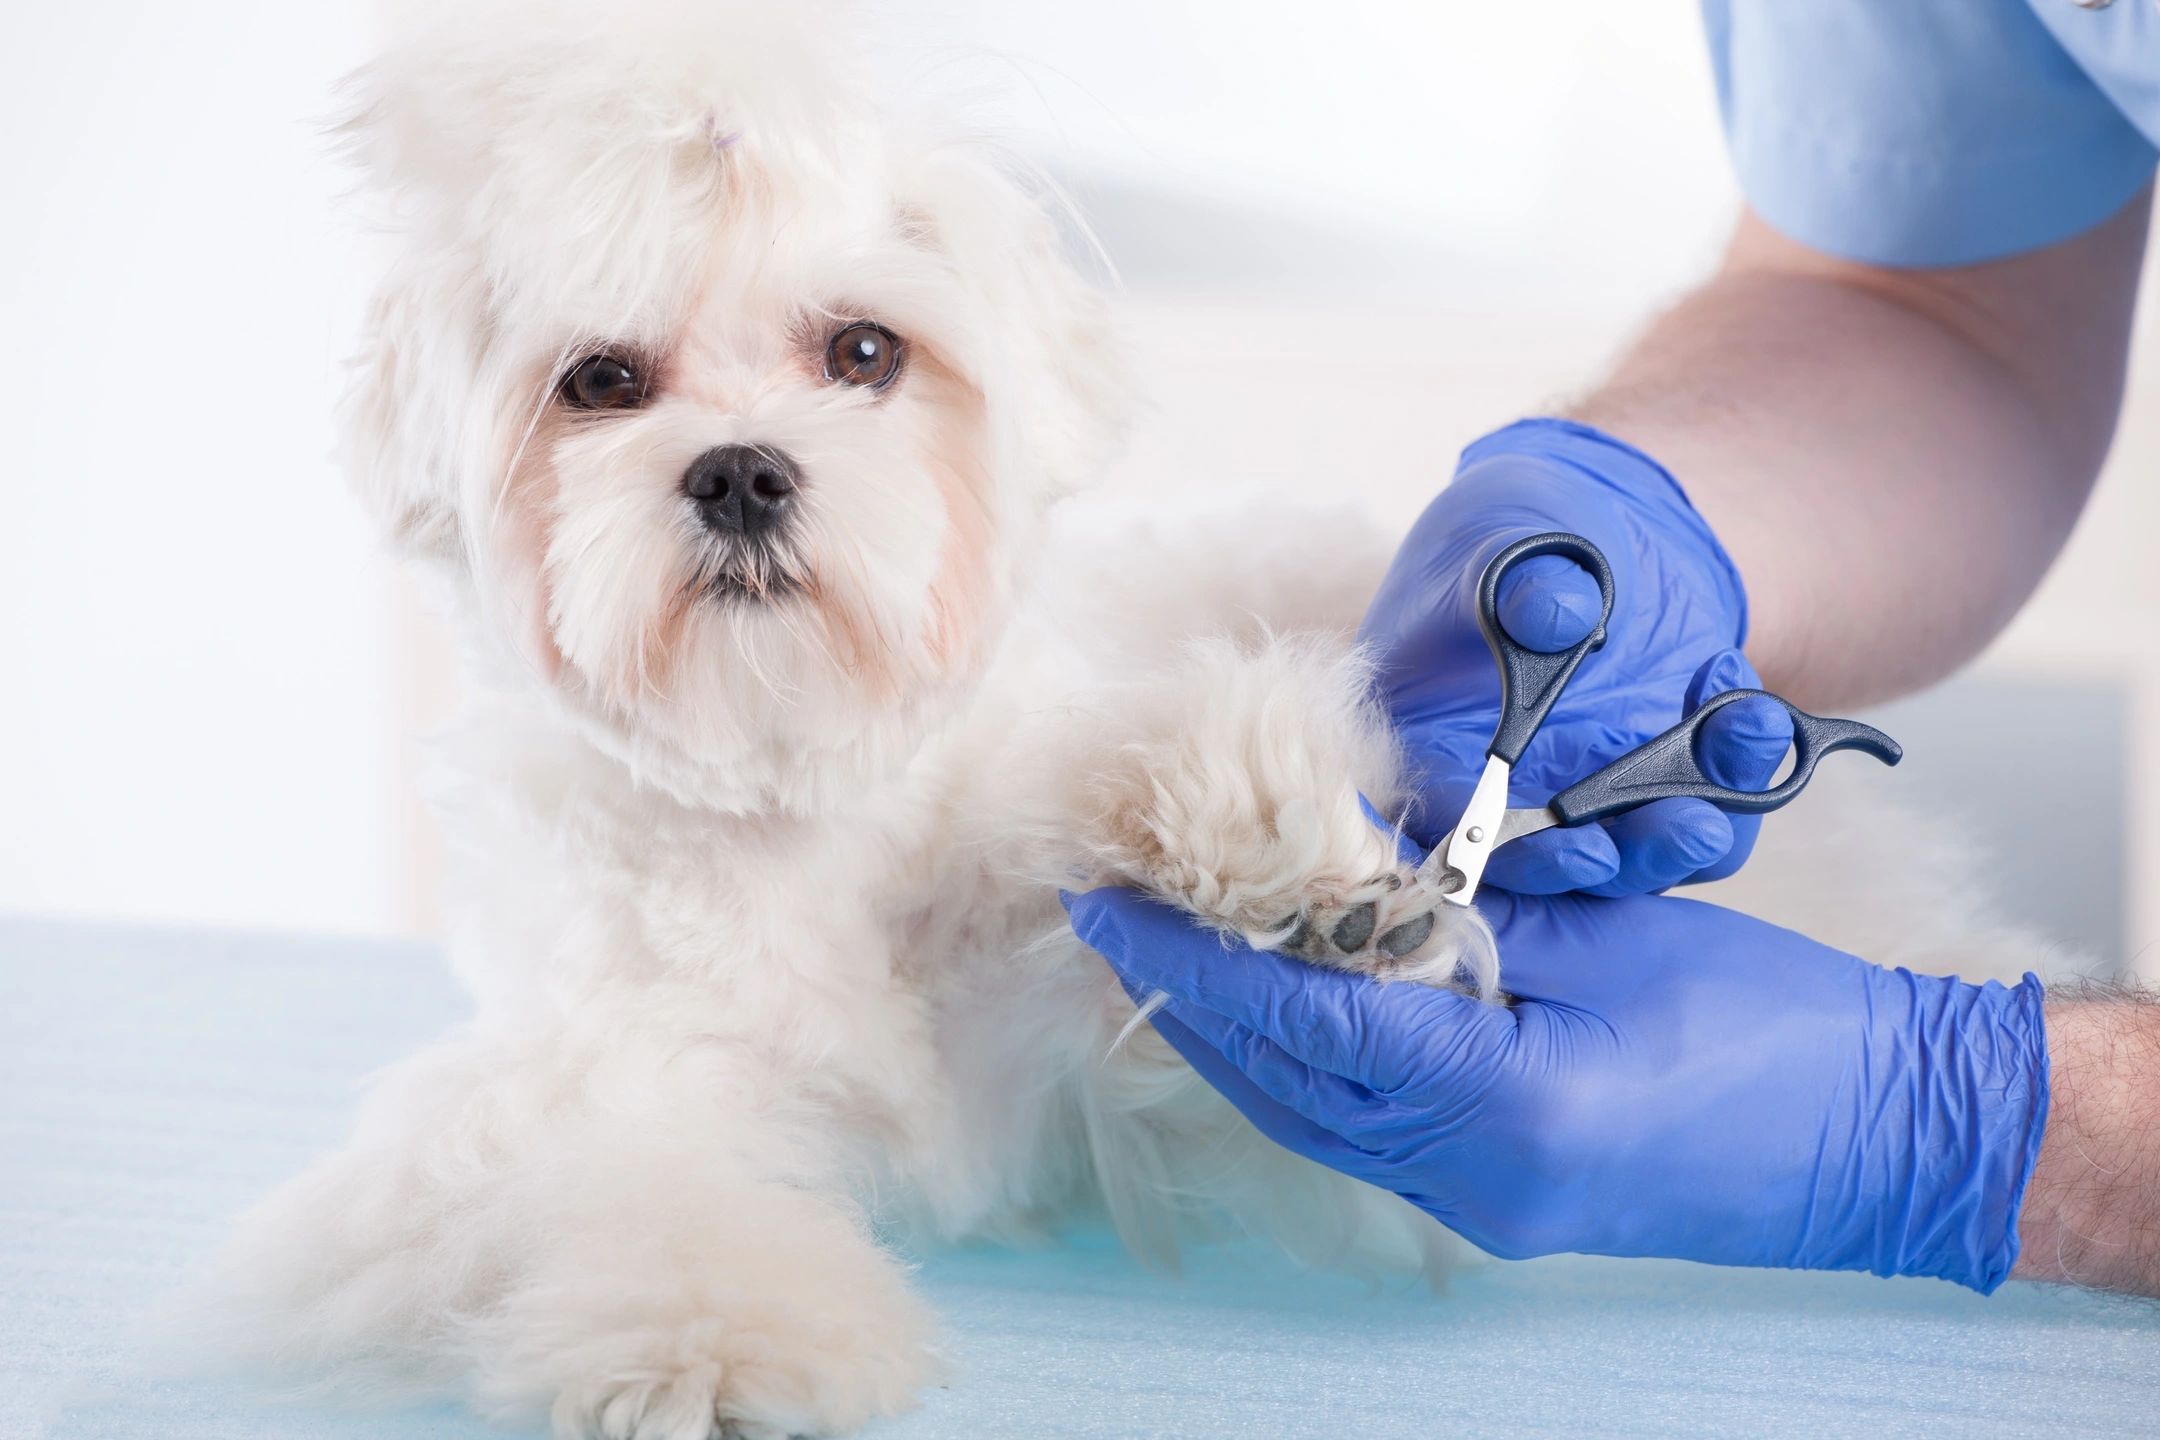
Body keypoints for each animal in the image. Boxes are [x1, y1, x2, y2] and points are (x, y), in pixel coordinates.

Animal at [198, 5, 2056, 1433]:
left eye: (861, 351)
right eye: (600, 382)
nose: (738, 471)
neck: (810, 802)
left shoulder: (1161, 1080)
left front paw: (1266, 855)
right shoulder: (608, 1079)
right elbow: (637, 1194)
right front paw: (709, 1348)